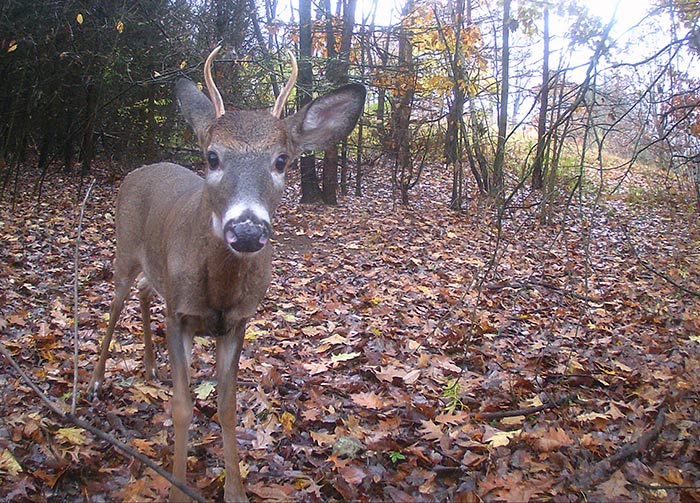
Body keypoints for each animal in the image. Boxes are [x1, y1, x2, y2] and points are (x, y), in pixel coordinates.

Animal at [87, 45, 366, 502]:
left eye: (282, 161)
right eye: (212, 156)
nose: (248, 229)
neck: (216, 290)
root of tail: (139, 170)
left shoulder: (237, 322)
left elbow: (228, 407)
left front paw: (235, 491)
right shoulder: (179, 315)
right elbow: (183, 408)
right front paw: (178, 489)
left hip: (153, 270)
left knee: (145, 292)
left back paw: (150, 367)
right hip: (124, 251)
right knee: (114, 307)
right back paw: (94, 382)